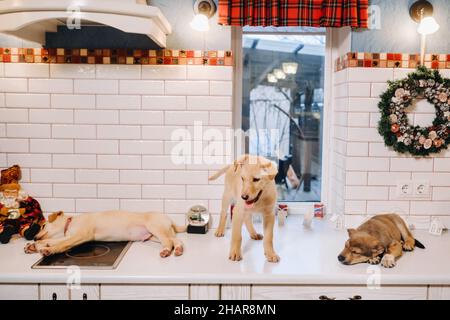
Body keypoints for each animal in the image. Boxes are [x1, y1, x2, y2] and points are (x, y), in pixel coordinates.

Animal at [24, 211, 186, 258]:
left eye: (43, 225)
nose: (34, 237)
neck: (70, 223)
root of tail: (169, 219)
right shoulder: (72, 236)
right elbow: (57, 241)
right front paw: (34, 246)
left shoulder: (81, 235)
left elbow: (62, 244)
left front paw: (48, 249)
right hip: (155, 235)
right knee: (176, 241)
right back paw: (177, 250)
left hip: (155, 228)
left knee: (169, 242)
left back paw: (166, 251)